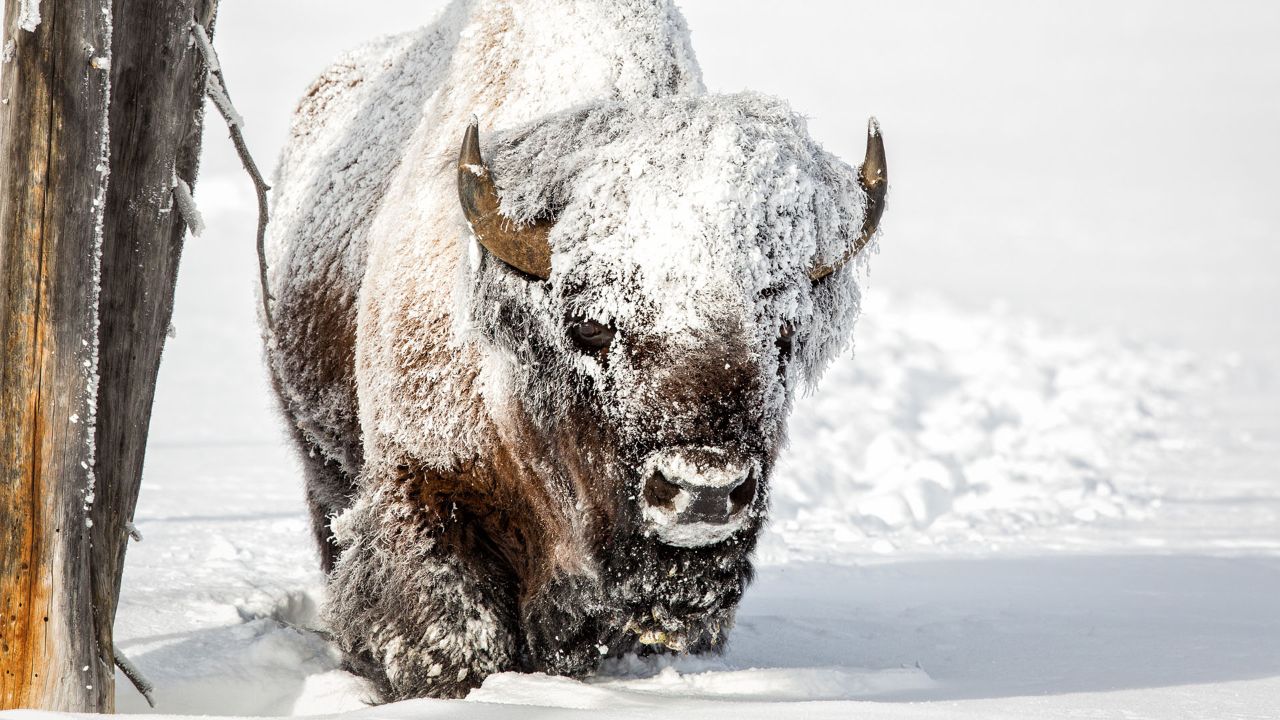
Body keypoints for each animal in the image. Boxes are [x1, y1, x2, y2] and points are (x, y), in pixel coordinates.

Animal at [259, 0, 880, 702]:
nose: (704, 490)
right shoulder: (423, 486)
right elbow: (452, 634)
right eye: (590, 327)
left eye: (783, 334)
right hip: (321, 455)